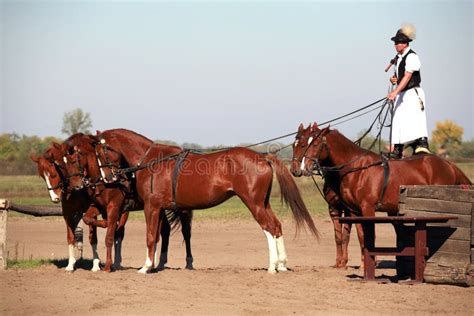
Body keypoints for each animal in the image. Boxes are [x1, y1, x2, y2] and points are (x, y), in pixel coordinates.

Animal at [95, 130, 318, 272]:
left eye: (101, 152)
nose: (108, 178)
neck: (151, 161)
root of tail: (263, 157)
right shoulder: (159, 209)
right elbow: (158, 237)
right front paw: (154, 265)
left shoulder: (152, 207)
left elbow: (150, 237)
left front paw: (146, 267)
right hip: (263, 203)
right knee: (277, 227)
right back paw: (281, 264)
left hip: (254, 204)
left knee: (269, 228)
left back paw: (272, 266)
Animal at [290, 123, 472, 266]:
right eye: (296, 145)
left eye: (314, 144)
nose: (300, 168)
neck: (357, 169)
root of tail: (448, 164)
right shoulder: (354, 211)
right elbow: (361, 235)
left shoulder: (368, 209)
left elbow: (369, 235)